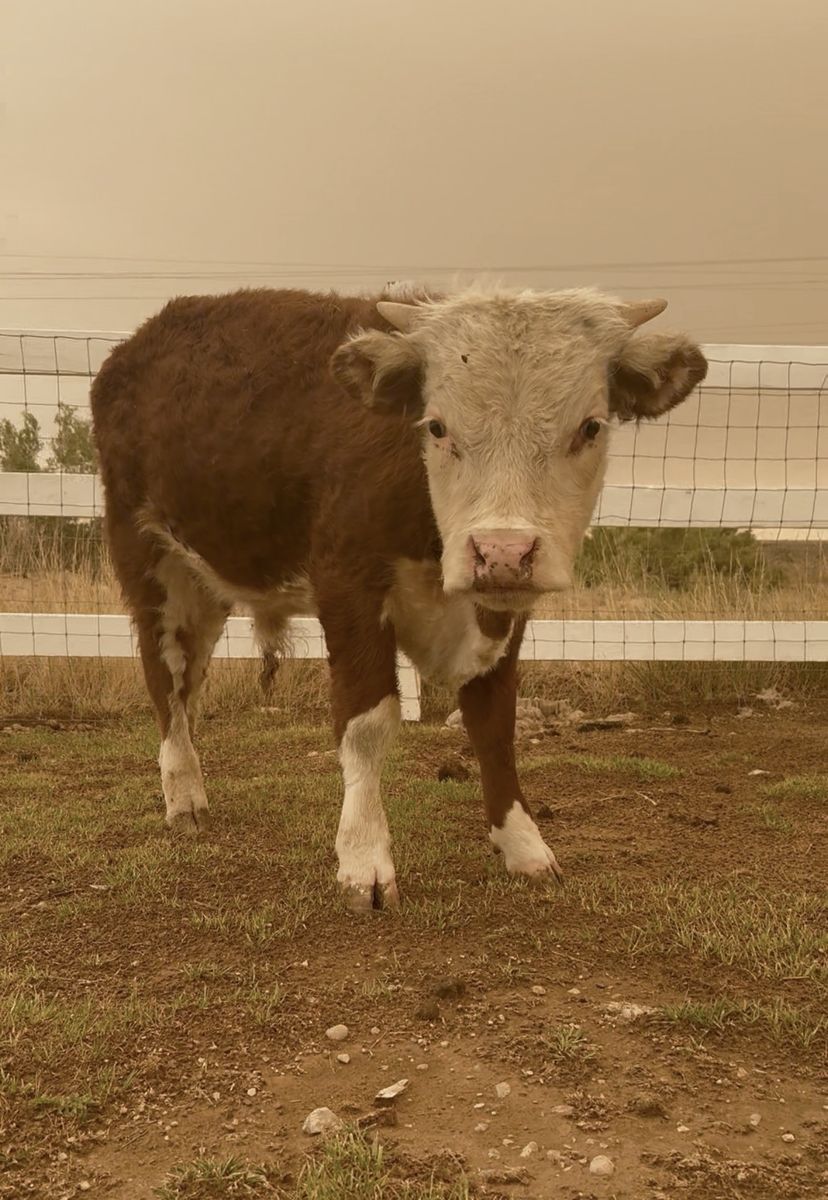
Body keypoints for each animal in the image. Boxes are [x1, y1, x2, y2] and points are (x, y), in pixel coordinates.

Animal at [91, 285, 707, 911]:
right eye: (435, 426)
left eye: (591, 427)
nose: (502, 551)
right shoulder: (348, 587)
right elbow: (366, 724)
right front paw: (364, 861)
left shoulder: (500, 614)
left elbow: (494, 725)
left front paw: (523, 846)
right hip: (150, 561)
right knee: (164, 678)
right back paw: (183, 797)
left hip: (205, 581)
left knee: (189, 682)